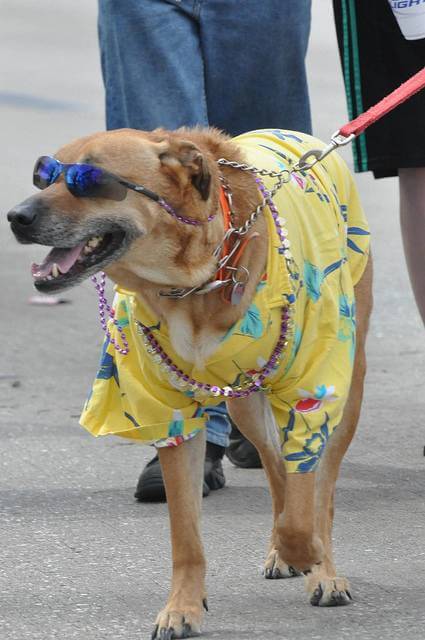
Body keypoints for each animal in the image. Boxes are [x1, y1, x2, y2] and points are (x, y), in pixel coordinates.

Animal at [6, 127, 372, 636]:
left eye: (91, 179)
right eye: (45, 175)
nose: (16, 217)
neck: (193, 283)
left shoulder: (314, 394)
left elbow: (308, 509)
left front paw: (312, 558)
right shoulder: (172, 416)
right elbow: (186, 535)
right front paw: (183, 606)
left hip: (346, 389)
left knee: (320, 487)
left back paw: (321, 567)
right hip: (242, 402)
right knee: (276, 466)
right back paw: (280, 548)